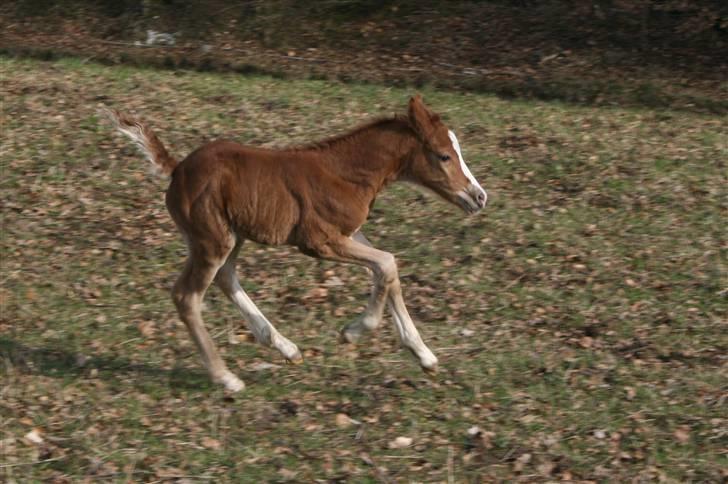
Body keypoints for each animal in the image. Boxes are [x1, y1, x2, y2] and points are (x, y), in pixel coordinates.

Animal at [106, 95, 484, 394]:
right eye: (444, 156)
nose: (479, 197)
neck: (348, 173)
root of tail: (177, 169)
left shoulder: (352, 233)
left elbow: (386, 274)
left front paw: (425, 357)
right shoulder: (319, 241)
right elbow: (388, 263)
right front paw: (353, 332)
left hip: (229, 236)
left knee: (226, 278)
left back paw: (284, 347)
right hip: (212, 239)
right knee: (188, 296)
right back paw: (226, 378)